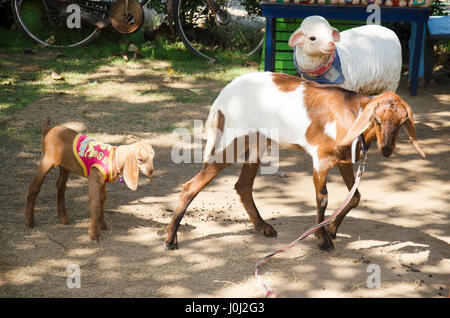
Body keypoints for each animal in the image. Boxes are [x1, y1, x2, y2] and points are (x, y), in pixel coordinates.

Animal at [163, 72, 424, 251]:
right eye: (377, 120)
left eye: (402, 122)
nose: (387, 149)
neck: (351, 115)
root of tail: (224, 94)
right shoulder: (320, 159)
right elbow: (323, 197)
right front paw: (323, 240)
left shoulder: (344, 161)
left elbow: (356, 196)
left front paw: (332, 229)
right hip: (233, 139)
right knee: (191, 186)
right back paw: (170, 238)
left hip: (258, 142)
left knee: (243, 185)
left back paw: (263, 226)